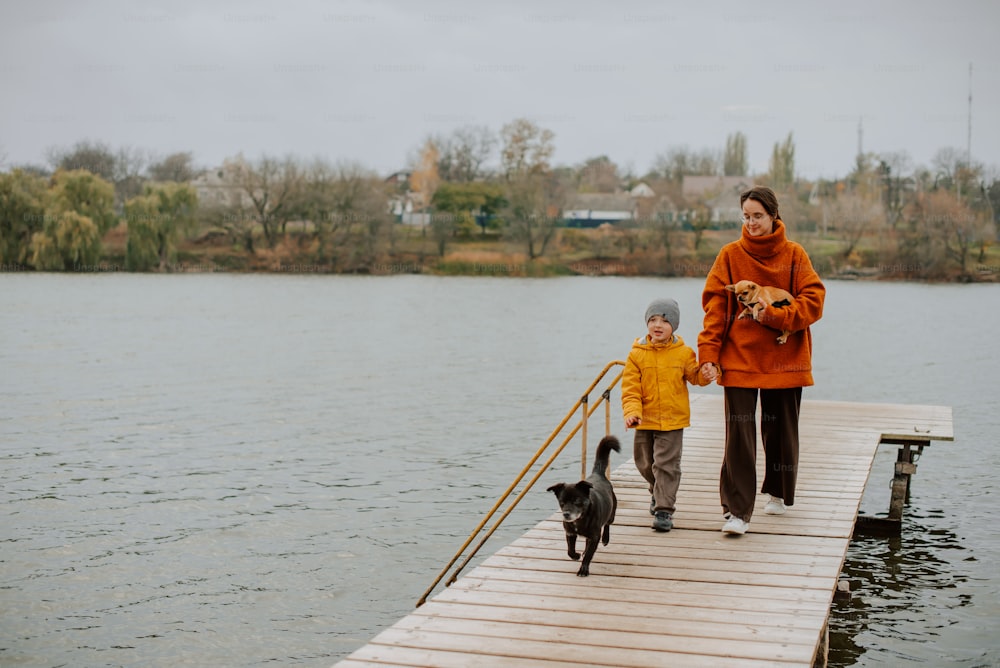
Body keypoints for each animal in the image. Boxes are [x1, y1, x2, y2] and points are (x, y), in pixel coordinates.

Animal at [548, 436, 616, 576]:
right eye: (562, 502)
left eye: (576, 500)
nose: (566, 514)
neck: (580, 520)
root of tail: (598, 474)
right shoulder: (570, 533)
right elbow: (570, 550)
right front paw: (576, 556)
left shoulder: (595, 536)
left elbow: (589, 554)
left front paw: (583, 570)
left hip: (611, 514)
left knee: (607, 524)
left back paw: (606, 539)